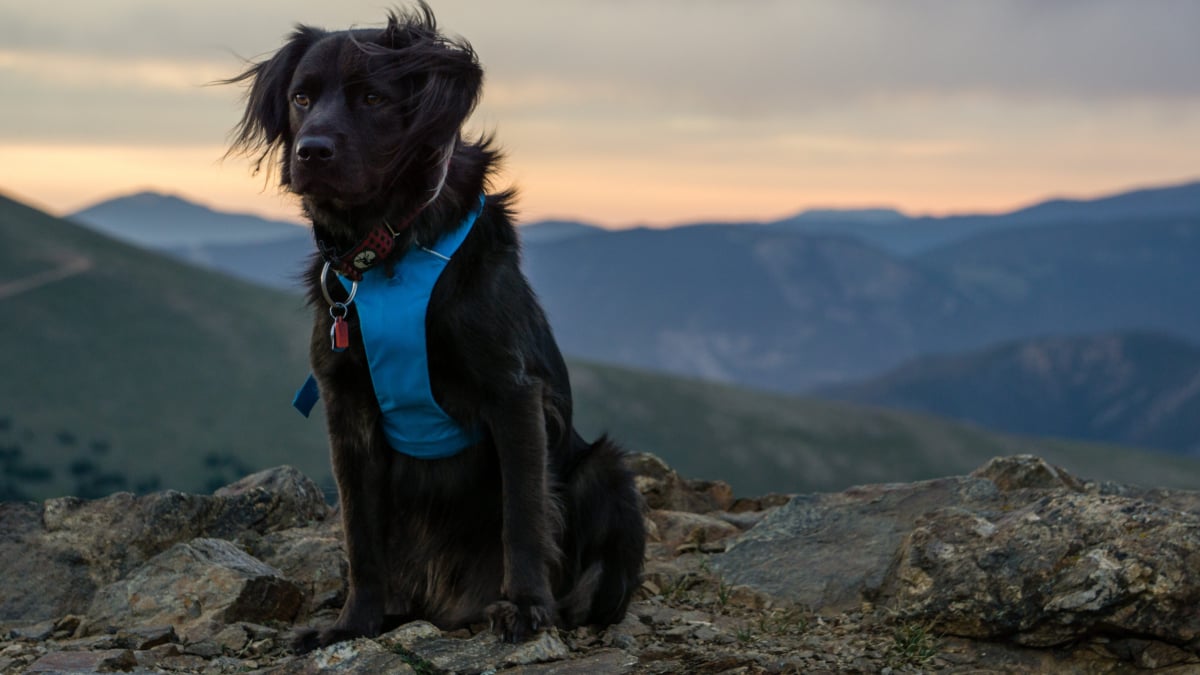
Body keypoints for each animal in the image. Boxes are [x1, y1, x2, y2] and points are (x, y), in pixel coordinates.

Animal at [222, 2, 643, 648]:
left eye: (372, 97)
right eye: (300, 97)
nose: (311, 151)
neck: (387, 245)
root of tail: (449, 607)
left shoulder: (513, 393)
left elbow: (522, 515)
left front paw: (527, 607)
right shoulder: (347, 405)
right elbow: (360, 534)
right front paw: (353, 624)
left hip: (607, 470)